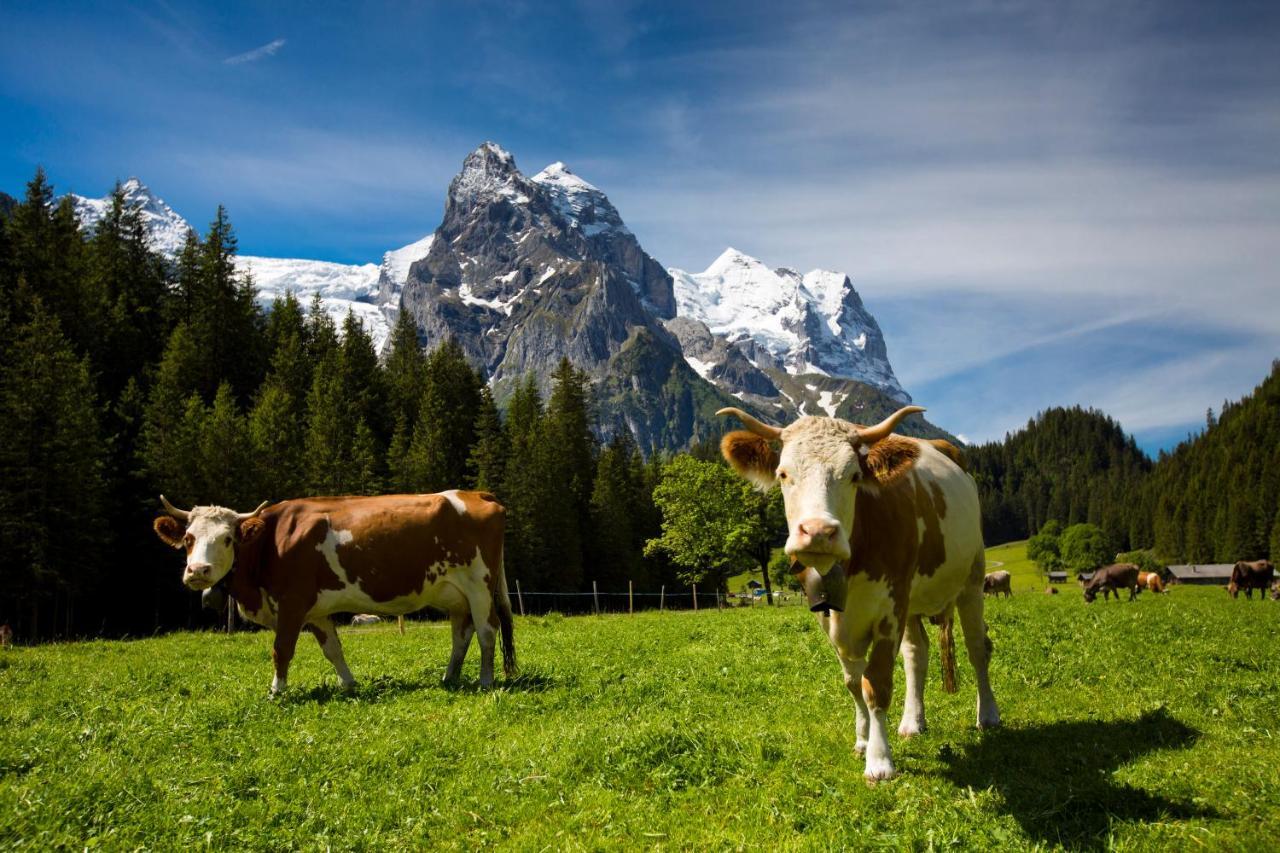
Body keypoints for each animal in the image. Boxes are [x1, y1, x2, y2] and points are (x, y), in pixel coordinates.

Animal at [149, 489, 509, 696]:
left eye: (227, 539)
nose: (198, 571)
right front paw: (348, 684)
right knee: (461, 634)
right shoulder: (317, 612)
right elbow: (333, 650)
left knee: (487, 631)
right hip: (456, 595)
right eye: (189, 539)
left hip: (479, 585)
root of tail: (475, 492)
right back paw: (449, 678)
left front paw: (277, 691)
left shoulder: (292, 603)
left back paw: (486, 680)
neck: (270, 541)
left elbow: (281, 649)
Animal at [721, 404, 998, 778]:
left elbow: (876, 684)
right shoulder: (830, 617)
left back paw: (988, 715)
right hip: (913, 601)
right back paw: (913, 721)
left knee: (977, 647)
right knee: (917, 653)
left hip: (971, 578)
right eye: (783, 474)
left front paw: (879, 761)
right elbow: (853, 682)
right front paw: (863, 740)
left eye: (853, 475)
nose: (818, 532)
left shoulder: (889, 608)